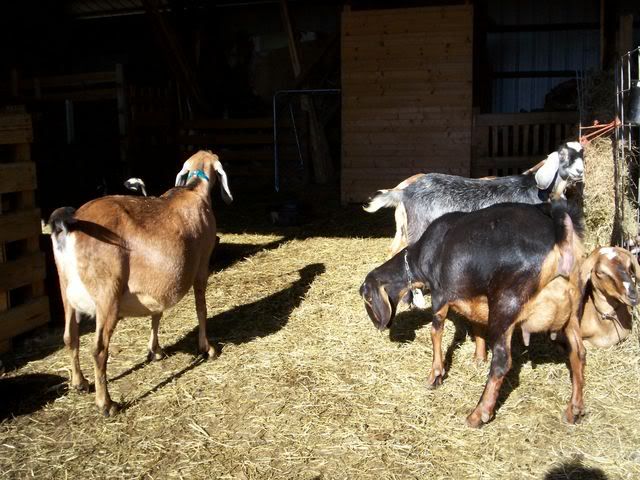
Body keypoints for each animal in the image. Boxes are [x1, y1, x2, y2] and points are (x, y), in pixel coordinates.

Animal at [49, 150, 232, 416]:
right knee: (98, 349)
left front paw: (155, 351)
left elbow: (156, 314)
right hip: (107, 295)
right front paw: (207, 348)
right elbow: (201, 308)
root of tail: (70, 226)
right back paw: (106, 404)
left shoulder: (155, 285)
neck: (193, 190)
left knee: (69, 336)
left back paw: (79, 383)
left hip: (66, 290)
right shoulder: (202, 265)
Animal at [360, 201, 586, 427]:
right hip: (573, 309)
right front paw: (478, 357)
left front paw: (435, 376)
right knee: (578, 352)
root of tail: (557, 232)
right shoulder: (474, 296)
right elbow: (476, 325)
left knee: (502, 362)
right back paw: (574, 410)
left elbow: (436, 331)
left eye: (367, 298)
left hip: (505, 305)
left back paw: (478, 414)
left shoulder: (440, 294)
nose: (379, 327)